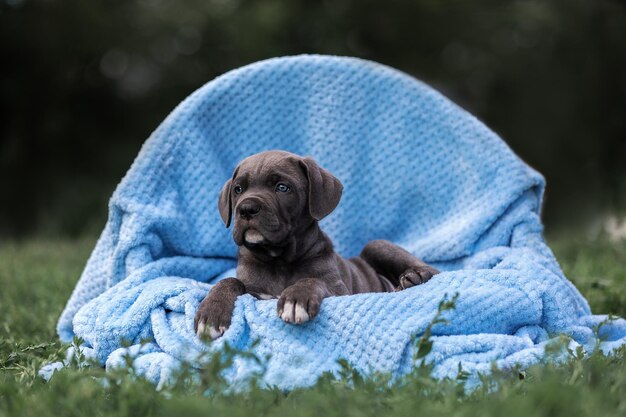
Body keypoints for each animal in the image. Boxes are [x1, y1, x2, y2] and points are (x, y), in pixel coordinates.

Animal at [193, 150, 436, 338]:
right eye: (238, 189)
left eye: (282, 187)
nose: (246, 209)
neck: (279, 260)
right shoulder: (253, 289)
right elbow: (228, 281)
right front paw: (211, 312)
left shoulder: (341, 291)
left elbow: (312, 279)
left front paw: (296, 298)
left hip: (375, 245)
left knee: (435, 271)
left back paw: (413, 278)